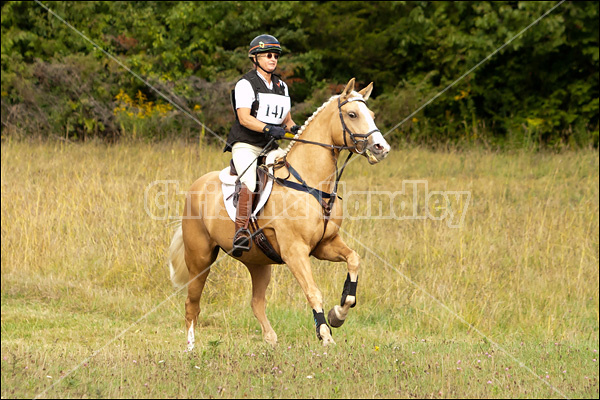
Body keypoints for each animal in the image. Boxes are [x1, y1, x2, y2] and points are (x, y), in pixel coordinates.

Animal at [169, 77, 390, 346]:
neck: (311, 183)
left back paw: (271, 340)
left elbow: (354, 260)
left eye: (372, 115)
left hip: (258, 262)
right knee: (192, 303)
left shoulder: (325, 244)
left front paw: (337, 315)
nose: (381, 148)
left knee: (256, 302)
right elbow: (313, 291)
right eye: (352, 114)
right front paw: (325, 334)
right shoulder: (295, 251)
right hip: (199, 258)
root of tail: (195, 186)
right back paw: (191, 347)